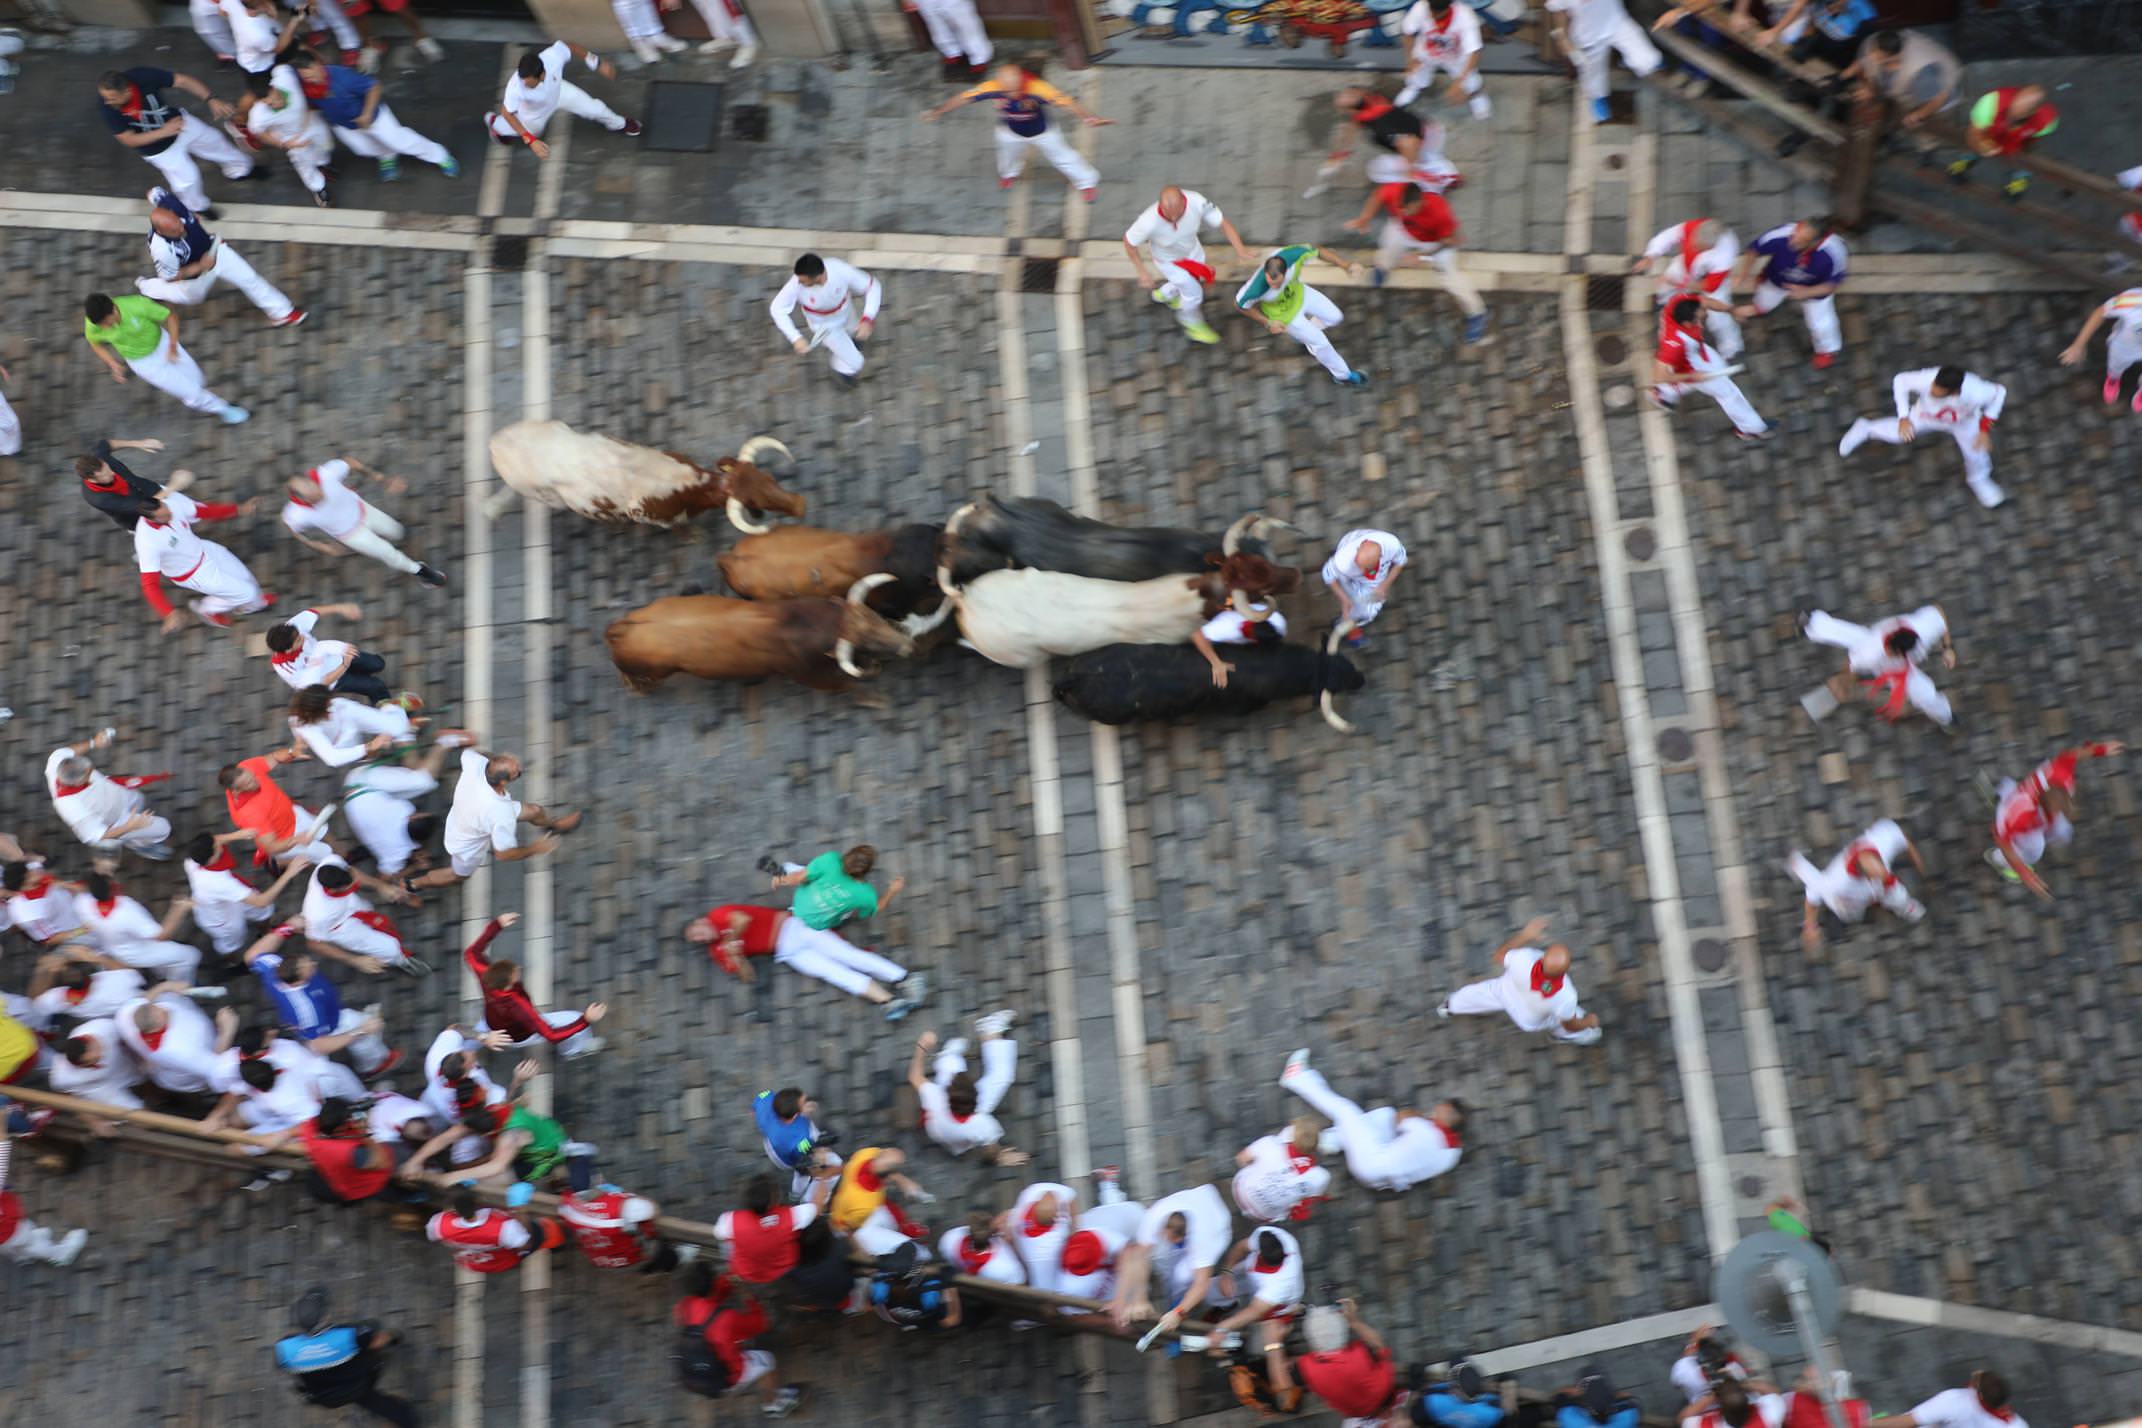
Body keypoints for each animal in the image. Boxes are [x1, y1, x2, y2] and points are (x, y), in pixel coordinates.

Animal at [481, 428, 805, 539]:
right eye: (753, 502)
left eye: (769, 479)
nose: (801, 505)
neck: (685, 486)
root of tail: (497, 441)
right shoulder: (652, 516)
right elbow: (677, 527)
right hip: (543, 495)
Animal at [599, 573, 916, 697]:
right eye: (866, 642)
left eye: (874, 618)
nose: (907, 647)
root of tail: (618, 629)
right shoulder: (810, 675)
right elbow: (846, 685)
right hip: (650, 671)